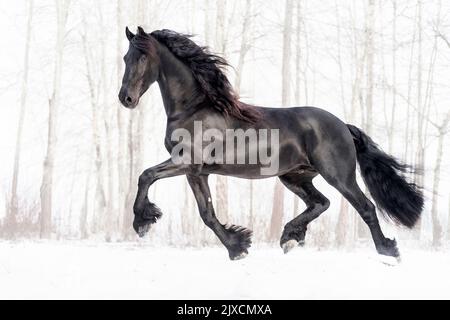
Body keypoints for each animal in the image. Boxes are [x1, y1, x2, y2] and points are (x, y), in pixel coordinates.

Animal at [118, 25, 424, 260]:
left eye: (142, 57)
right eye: (125, 57)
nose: (126, 99)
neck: (195, 108)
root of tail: (343, 126)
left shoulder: (186, 162)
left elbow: (146, 176)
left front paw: (142, 222)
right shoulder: (198, 172)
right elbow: (206, 212)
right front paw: (238, 246)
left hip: (339, 176)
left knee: (365, 207)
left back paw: (388, 252)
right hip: (294, 177)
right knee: (321, 203)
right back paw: (290, 237)